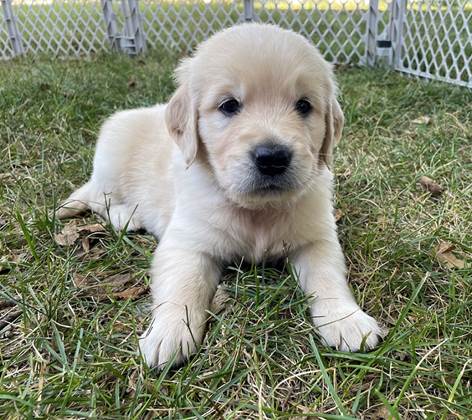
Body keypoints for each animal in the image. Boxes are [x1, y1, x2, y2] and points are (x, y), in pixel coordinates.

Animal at [58, 24, 384, 370]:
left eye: (304, 105)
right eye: (229, 105)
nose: (273, 158)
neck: (257, 210)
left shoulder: (316, 238)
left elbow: (327, 276)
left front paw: (346, 319)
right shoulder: (187, 243)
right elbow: (183, 284)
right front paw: (168, 332)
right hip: (111, 157)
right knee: (97, 196)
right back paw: (125, 216)